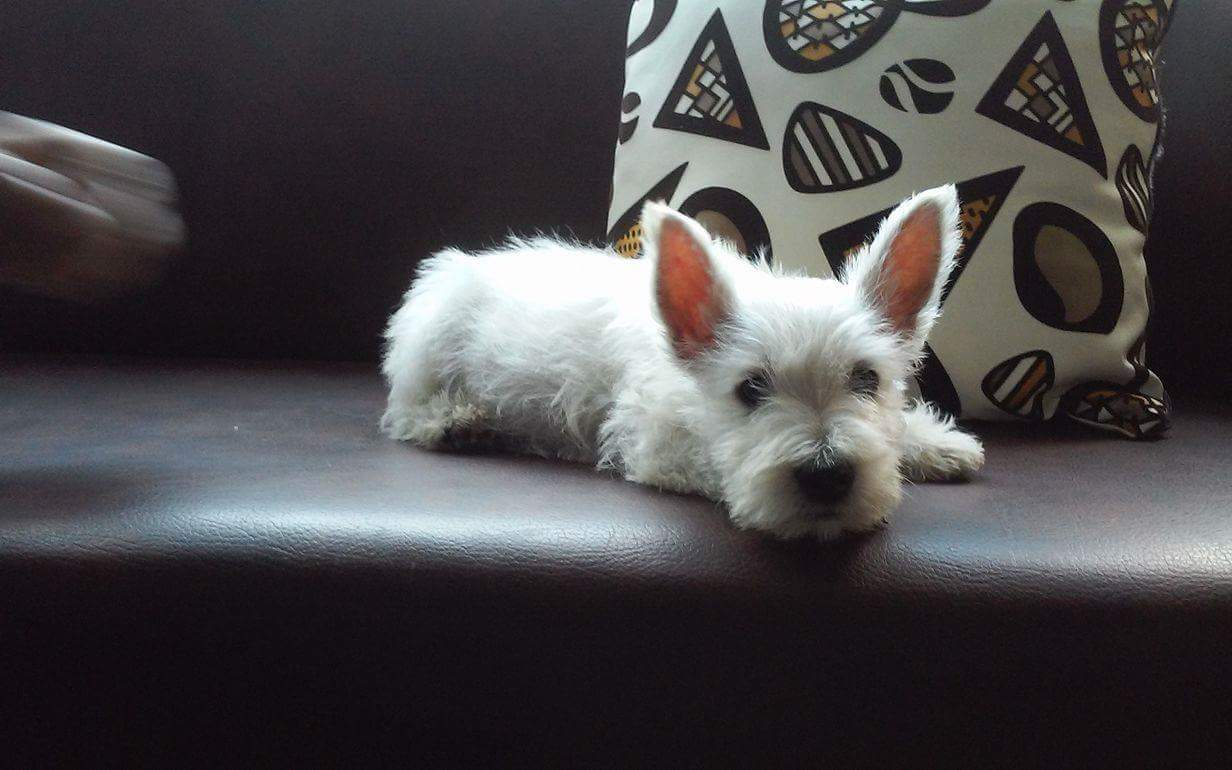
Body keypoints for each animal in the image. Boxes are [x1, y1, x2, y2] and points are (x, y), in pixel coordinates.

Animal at [381, 183, 980, 537]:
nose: (828, 476)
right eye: (749, 389)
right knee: (404, 410)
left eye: (866, 378)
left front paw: (940, 446)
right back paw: (458, 421)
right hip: (430, 347)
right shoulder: (656, 447)